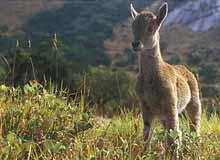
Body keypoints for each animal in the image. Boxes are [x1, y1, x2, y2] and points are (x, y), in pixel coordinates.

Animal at [130, 1, 202, 159]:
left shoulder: (170, 103)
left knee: (194, 128)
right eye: (132, 26)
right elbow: (146, 136)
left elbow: (174, 136)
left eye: (151, 27)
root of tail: (187, 70)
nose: (135, 44)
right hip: (163, 116)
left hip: (194, 100)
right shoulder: (144, 105)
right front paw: (144, 154)